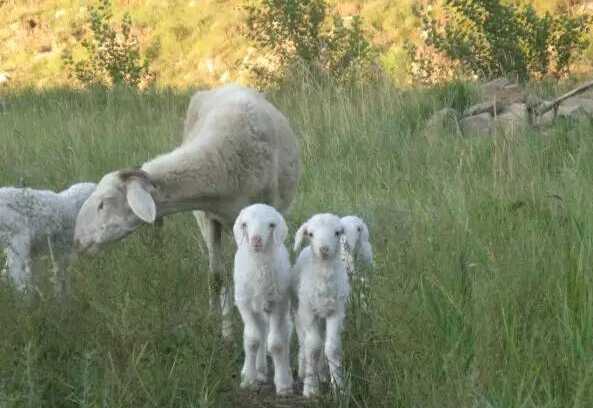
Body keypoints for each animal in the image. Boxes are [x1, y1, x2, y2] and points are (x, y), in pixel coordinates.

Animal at [234, 204, 294, 396]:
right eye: (245, 224)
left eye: (271, 225)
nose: (256, 240)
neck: (259, 264)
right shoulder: (244, 303)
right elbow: (252, 340)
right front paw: (249, 379)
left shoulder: (278, 304)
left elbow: (276, 344)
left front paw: (283, 385)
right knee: (259, 331)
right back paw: (257, 370)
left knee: (283, 334)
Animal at [292, 212, 350, 396]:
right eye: (310, 234)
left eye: (337, 233)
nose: (324, 249)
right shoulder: (308, 311)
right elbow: (313, 348)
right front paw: (311, 388)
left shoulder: (336, 312)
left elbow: (332, 347)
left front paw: (339, 386)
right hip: (298, 312)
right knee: (304, 342)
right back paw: (304, 371)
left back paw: (323, 373)